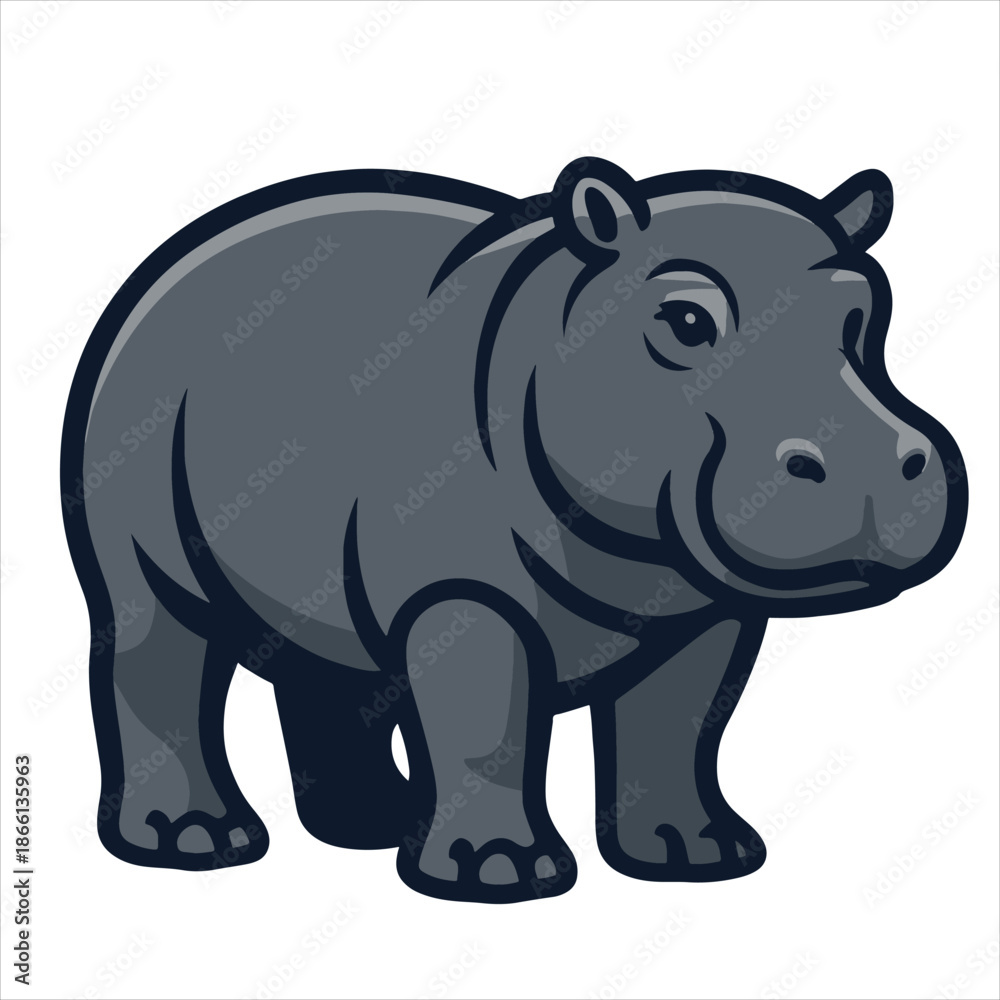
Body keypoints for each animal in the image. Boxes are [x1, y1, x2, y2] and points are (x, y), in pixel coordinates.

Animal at [61, 158, 967, 903]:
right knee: (157, 650)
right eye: (683, 321)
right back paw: (195, 843)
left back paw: (373, 826)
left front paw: (695, 856)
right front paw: (497, 875)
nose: (875, 467)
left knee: (328, 662)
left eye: (866, 313)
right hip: (135, 522)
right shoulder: (461, 593)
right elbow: (484, 724)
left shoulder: (704, 610)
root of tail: (166, 267)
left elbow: (680, 727)